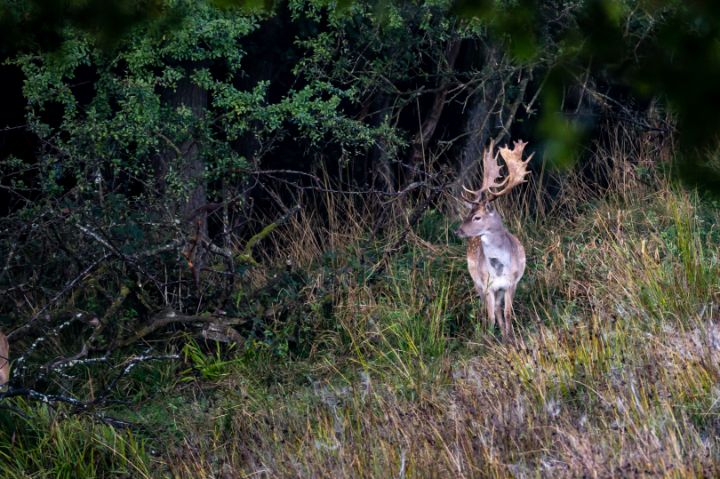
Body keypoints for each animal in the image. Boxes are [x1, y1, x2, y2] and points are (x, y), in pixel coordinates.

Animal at [455, 139, 533, 338]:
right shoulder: (487, 284)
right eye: (467, 214)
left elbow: (507, 313)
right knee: (489, 309)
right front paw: (489, 339)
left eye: (477, 217)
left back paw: (504, 336)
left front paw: (511, 338)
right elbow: (491, 316)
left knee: (498, 308)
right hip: (477, 282)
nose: (458, 231)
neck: (499, 269)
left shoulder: (512, 283)